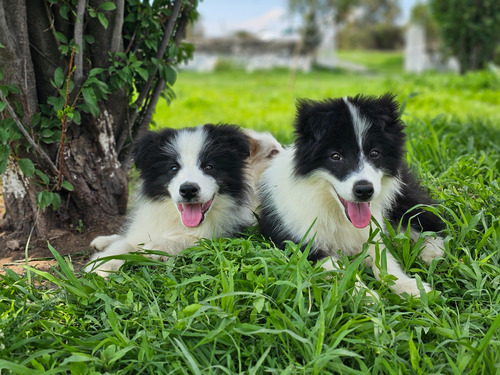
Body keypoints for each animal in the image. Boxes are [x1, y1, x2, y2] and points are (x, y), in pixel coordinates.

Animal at [85, 125, 254, 274]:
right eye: (173, 168)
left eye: (209, 167)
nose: (188, 190)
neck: (178, 221)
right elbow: (124, 244)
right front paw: (101, 267)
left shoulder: (229, 229)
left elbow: (193, 239)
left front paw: (157, 246)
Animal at [258, 94, 446, 296]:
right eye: (335, 156)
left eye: (375, 153)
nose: (364, 190)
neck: (335, 211)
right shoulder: (301, 244)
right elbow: (338, 269)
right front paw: (366, 295)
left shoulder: (371, 233)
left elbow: (384, 262)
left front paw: (412, 287)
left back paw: (432, 252)